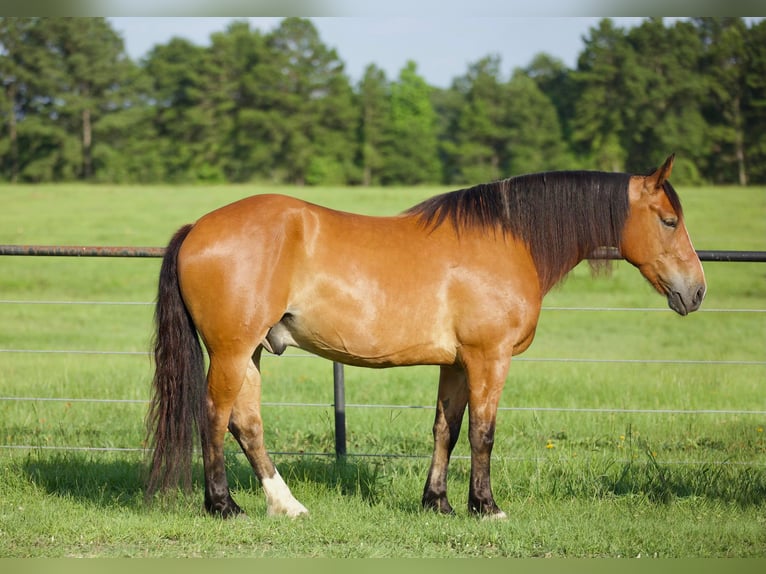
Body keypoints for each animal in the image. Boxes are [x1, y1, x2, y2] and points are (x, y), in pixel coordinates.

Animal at [144, 155, 708, 520]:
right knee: (214, 417)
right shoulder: (489, 358)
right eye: (669, 220)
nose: (697, 291)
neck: (509, 240)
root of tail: (198, 229)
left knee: (247, 424)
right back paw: (223, 505)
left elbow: (446, 430)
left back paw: (286, 506)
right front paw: (486, 506)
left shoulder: (456, 362)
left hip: (251, 352)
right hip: (231, 351)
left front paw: (438, 502)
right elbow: (483, 432)